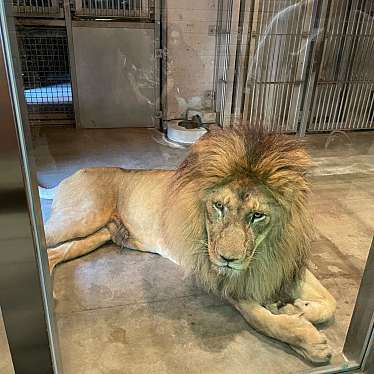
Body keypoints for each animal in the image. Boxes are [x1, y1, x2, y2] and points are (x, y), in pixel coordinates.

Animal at [44, 124, 336, 364]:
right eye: (218, 206)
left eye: (257, 215)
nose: (228, 259)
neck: (262, 252)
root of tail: (74, 173)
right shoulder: (214, 274)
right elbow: (259, 318)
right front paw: (308, 340)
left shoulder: (287, 265)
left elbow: (330, 303)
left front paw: (294, 308)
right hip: (81, 218)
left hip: (95, 234)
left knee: (54, 254)